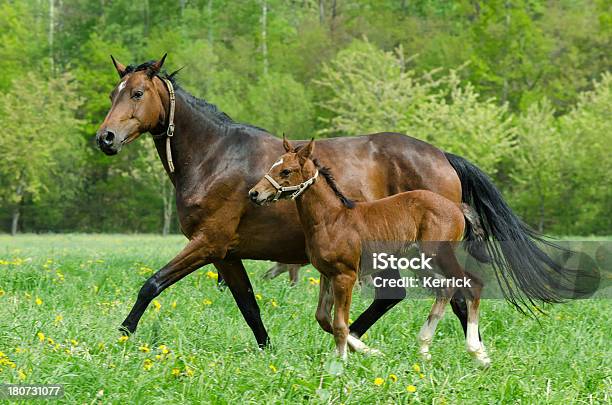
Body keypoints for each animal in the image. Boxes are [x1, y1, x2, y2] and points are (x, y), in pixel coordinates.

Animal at [249, 137, 492, 366]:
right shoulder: (327, 274)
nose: (254, 193)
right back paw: (425, 348)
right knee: (446, 288)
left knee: (472, 285)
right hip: (420, 262)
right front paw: (368, 351)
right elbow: (323, 318)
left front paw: (342, 361)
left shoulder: (345, 275)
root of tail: (457, 207)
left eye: (286, 171)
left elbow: (339, 323)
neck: (331, 218)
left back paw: (476, 352)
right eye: (273, 165)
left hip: (437, 256)